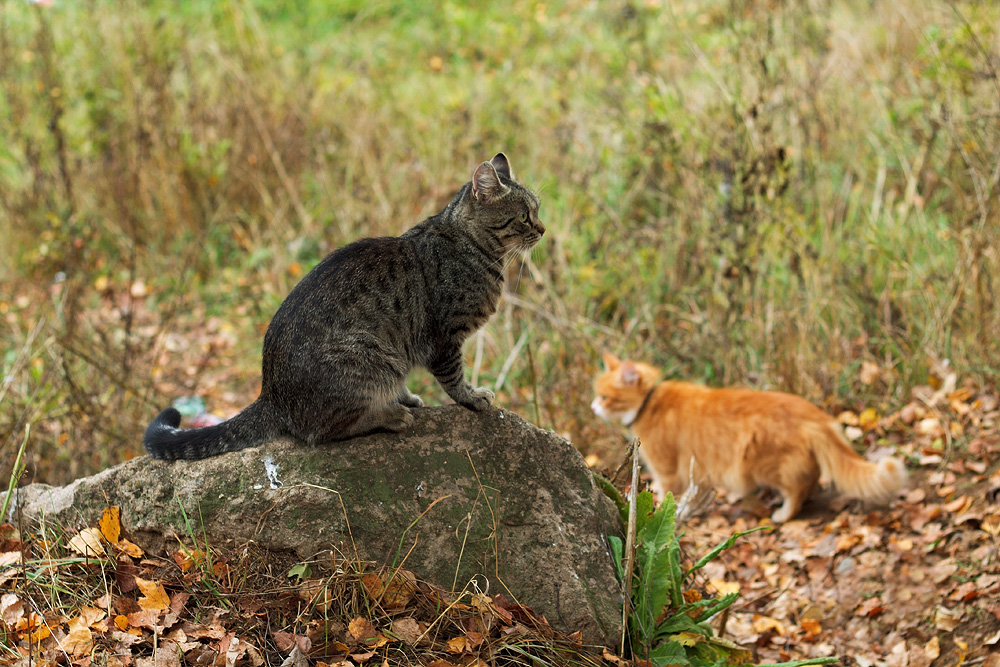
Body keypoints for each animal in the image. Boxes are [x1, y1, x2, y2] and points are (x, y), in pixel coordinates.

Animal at [145, 154, 544, 462]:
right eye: (524, 216)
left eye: (537, 210)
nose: (542, 228)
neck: (475, 247)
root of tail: (269, 394)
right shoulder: (444, 339)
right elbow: (455, 381)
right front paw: (473, 398)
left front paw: (412, 396)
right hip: (369, 355)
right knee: (324, 430)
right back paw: (390, 415)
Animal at [588, 354, 912, 520]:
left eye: (604, 397)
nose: (593, 406)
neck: (651, 401)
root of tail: (815, 416)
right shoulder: (697, 472)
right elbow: (695, 496)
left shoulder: (666, 469)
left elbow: (670, 497)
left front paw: (674, 514)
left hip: (764, 464)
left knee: (799, 489)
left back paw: (783, 513)